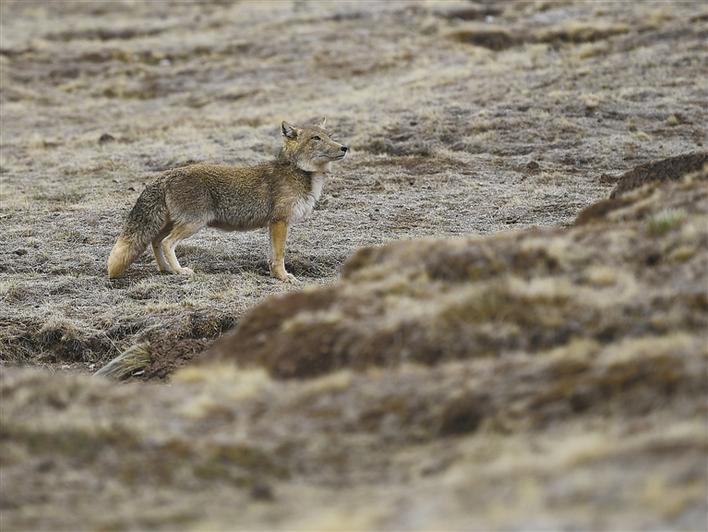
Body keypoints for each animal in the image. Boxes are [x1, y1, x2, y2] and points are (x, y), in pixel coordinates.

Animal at [107, 118, 348, 282]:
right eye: (316, 138)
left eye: (330, 136)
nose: (345, 148)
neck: (301, 173)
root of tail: (167, 174)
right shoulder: (280, 221)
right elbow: (279, 255)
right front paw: (283, 277)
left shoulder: (273, 224)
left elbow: (272, 255)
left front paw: (274, 274)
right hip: (193, 224)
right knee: (166, 243)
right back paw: (179, 271)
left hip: (172, 224)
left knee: (155, 241)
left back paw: (166, 269)